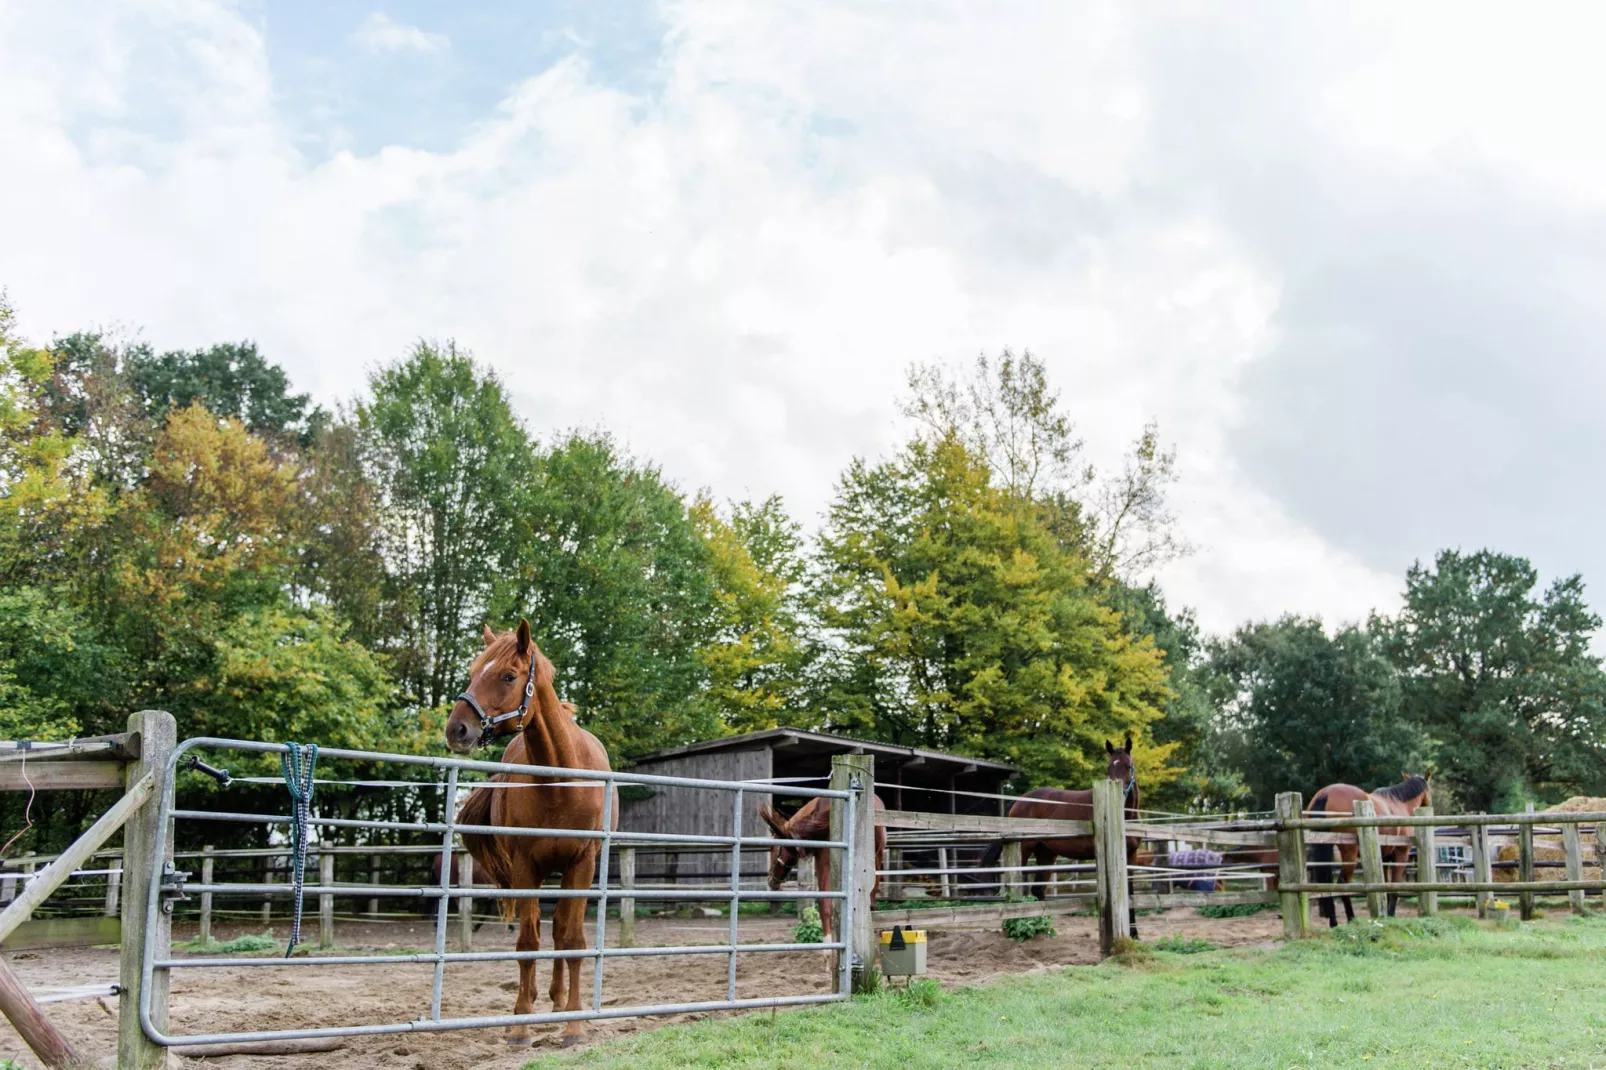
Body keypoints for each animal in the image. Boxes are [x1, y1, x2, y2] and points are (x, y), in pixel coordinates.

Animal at [443, 620, 616, 1047]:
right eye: (474, 673)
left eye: (508, 675)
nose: (457, 729)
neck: (560, 782)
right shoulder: (524, 867)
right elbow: (527, 943)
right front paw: (520, 1023)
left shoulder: (581, 866)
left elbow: (573, 941)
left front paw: (574, 1023)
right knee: (540, 932)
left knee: (560, 933)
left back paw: (558, 1002)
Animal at [976, 732, 1143, 931]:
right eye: (1109, 767)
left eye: (1128, 766)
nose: (1120, 795)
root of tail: (1020, 800)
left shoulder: (1131, 856)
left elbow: (1131, 893)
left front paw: (1134, 933)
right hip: (1023, 850)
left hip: (1046, 853)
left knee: (1037, 890)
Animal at [1304, 771, 1432, 918]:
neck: (1400, 804)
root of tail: (1326, 794)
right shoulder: (1401, 855)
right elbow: (1394, 886)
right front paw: (1391, 913)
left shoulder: (1384, 858)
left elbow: (1386, 884)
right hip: (1350, 853)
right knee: (1343, 883)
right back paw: (1351, 918)